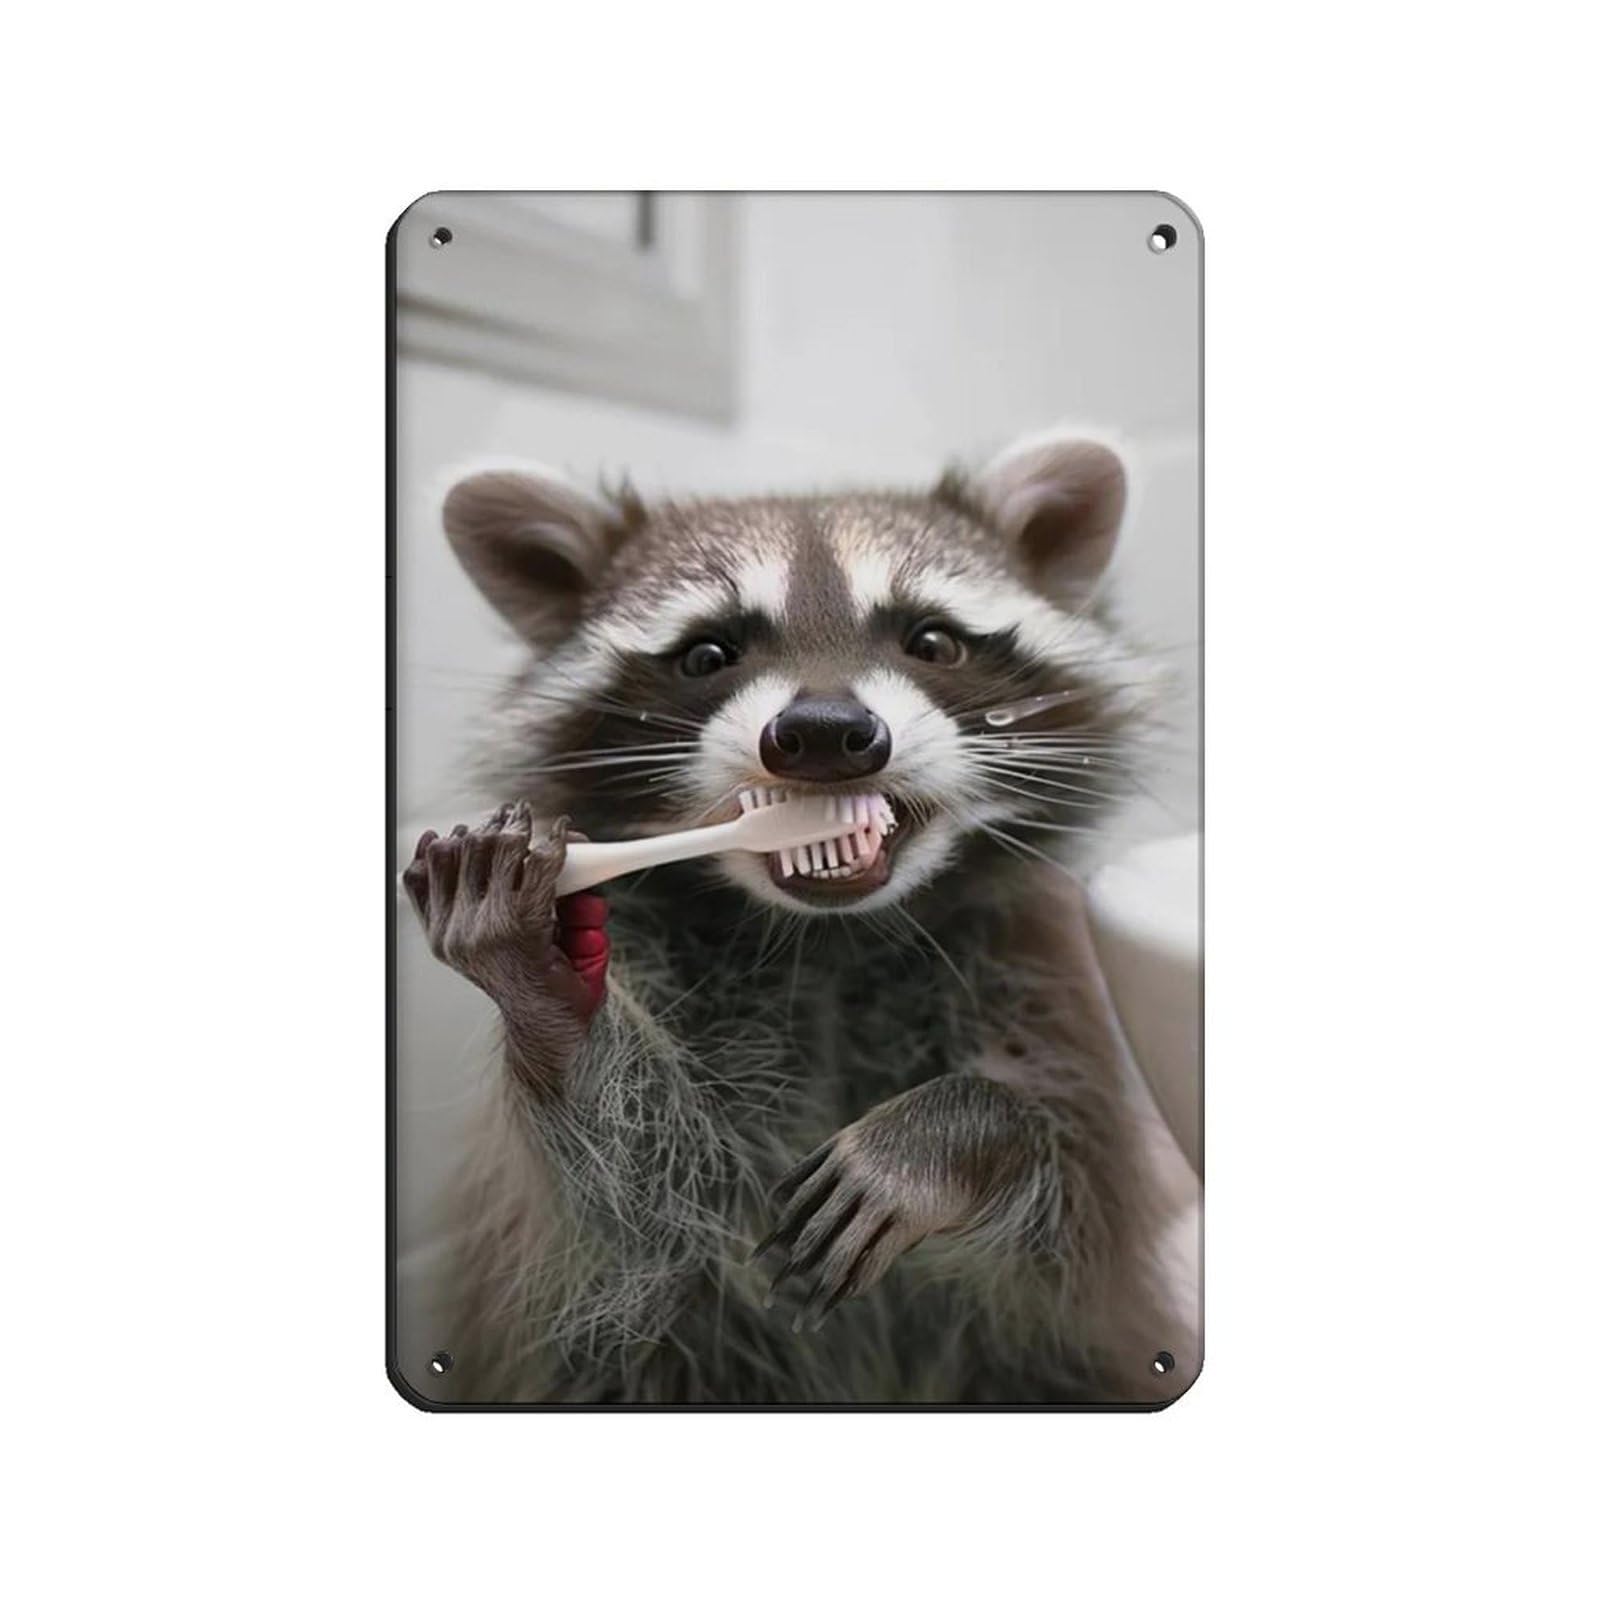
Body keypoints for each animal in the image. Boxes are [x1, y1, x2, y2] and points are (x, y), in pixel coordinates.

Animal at [401, 431, 1193, 1404]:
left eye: (933, 640)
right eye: (707, 655)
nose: (821, 732)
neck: (831, 938)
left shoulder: (1042, 986)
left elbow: (1070, 1211)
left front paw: (958, 1132)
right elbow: (640, 1206)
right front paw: (550, 1002)